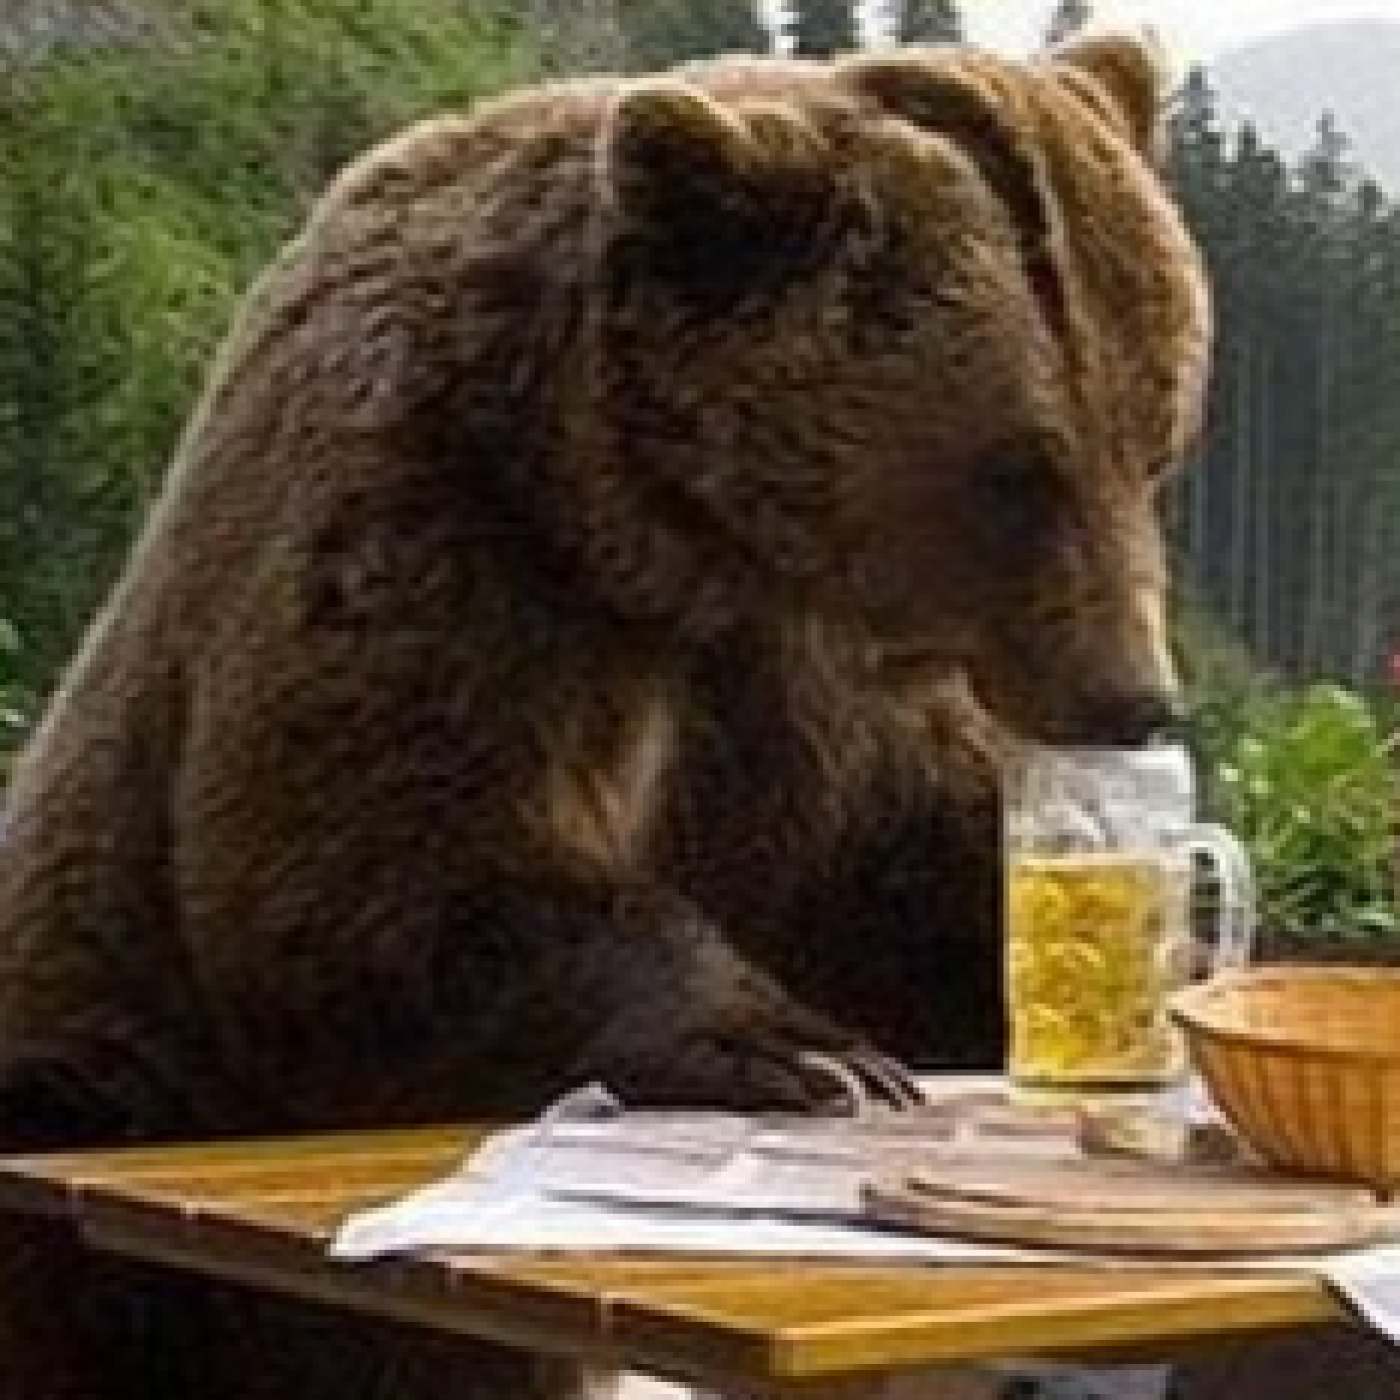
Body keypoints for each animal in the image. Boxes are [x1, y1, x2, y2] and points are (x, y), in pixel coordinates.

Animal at [0, 33, 1207, 1400]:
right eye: (1015, 472)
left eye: (1155, 439)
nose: (1133, 697)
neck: (663, 531)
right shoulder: (441, 523)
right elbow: (366, 870)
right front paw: (798, 1050)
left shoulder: (809, 685)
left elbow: (902, 868)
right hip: (98, 1105)